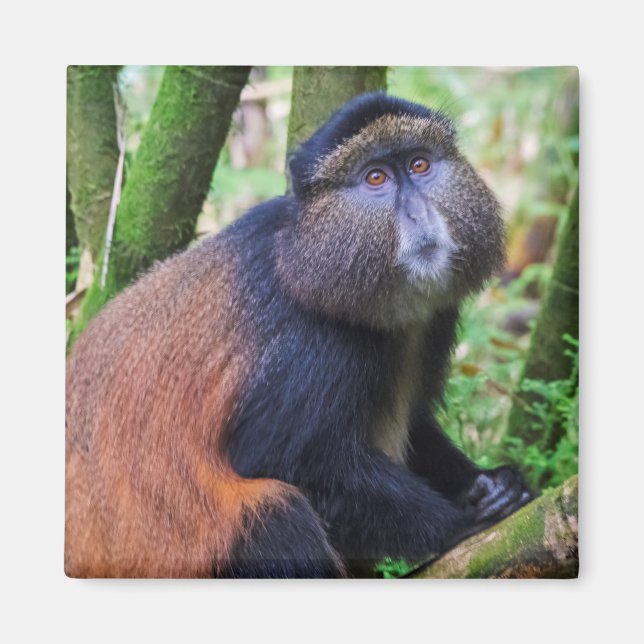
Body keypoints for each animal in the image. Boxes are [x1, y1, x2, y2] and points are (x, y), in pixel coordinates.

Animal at [65, 92, 532, 579]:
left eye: (419, 164)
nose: (419, 214)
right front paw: (462, 522)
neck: (307, 255)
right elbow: (279, 459)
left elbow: (418, 425)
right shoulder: (312, 343)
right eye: (376, 177)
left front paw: (492, 483)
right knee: (276, 516)